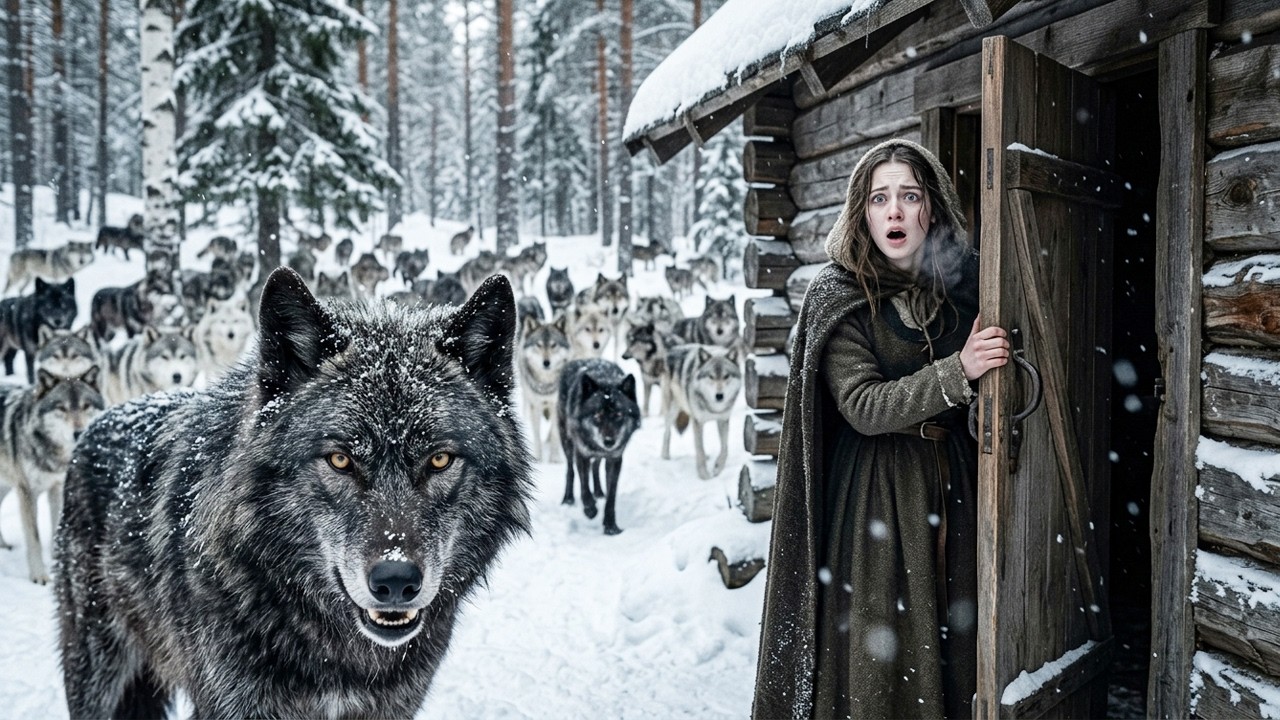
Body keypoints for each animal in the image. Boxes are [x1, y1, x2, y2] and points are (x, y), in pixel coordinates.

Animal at [0, 368, 104, 583]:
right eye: (62, 408)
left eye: (86, 406)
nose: (78, 432)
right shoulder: (27, 493)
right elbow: (34, 538)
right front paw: (39, 575)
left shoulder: (57, 488)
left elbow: (57, 526)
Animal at [519, 314, 571, 462]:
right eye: (539, 345)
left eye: (553, 345)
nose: (546, 362)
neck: (545, 384)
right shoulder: (535, 405)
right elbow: (536, 432)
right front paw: (538, 457)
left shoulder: (555, 405)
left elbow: (555, 433)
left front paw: (555, 458)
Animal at [557, 359, 640, 535]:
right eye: (597, 415)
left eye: (618, 415)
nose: (609, 441)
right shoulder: (582, 453)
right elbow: (584, 486)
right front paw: (590, 509)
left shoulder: (615, 459)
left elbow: (611, 496)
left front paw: (611, 526)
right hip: (567, 441)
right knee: (570, 470)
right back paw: (568, 499)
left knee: (595, 466)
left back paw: (599, 492)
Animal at [661, 344, 742, 480]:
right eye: (711, 376)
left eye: (726, 376)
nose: (719, 396)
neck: (713, 408)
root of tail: (673, 348)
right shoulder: (698, 421)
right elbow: (700, 450)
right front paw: (704, 475)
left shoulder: (723, 419)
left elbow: (724, 448)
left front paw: (718, 468)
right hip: (672, 410)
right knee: (667, 432)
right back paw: (665, 457)